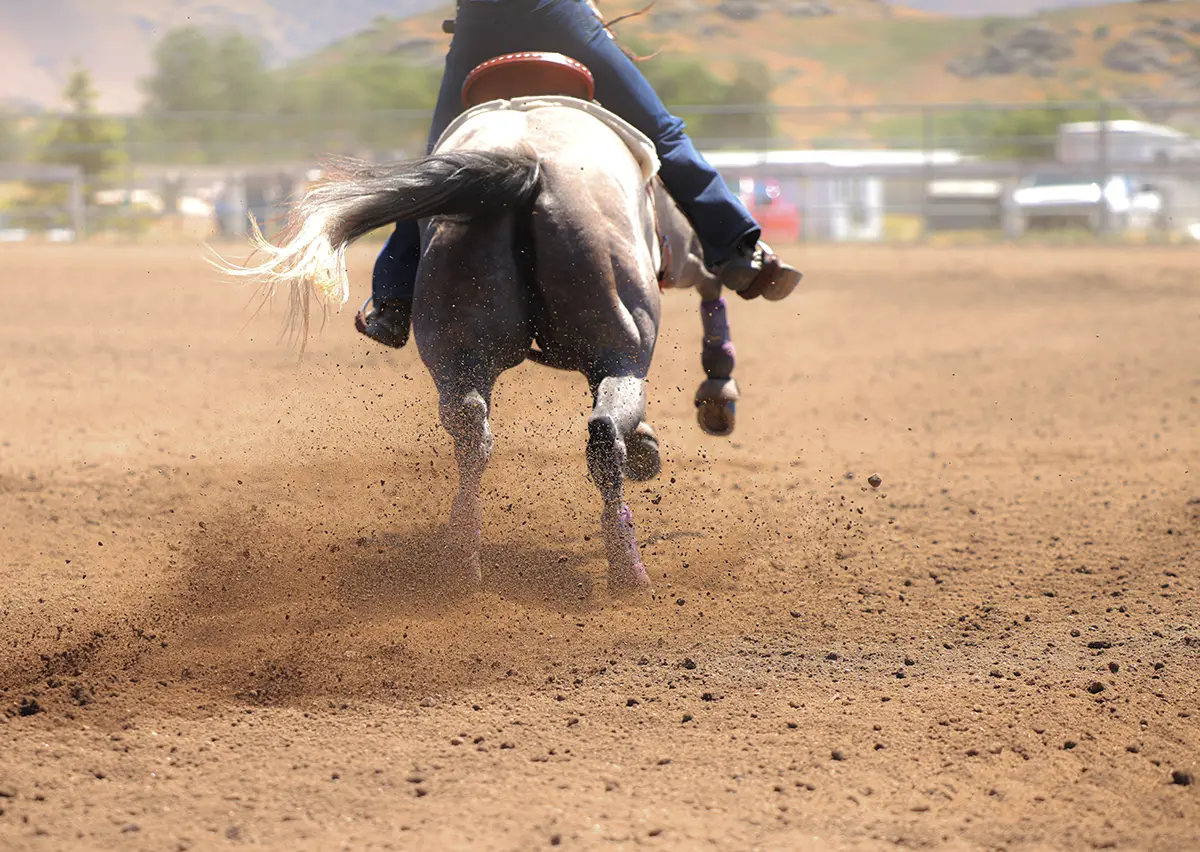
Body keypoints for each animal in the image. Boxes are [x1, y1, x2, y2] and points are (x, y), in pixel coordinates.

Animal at [214, 63, 741, 596]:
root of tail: (527, 164)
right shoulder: (683, 252)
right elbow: (711, 279)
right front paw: (708, 400)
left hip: (461, 350)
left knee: (474, 434)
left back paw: (461, 560)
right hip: (621, 343)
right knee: (604, 431)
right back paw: (628, 566)